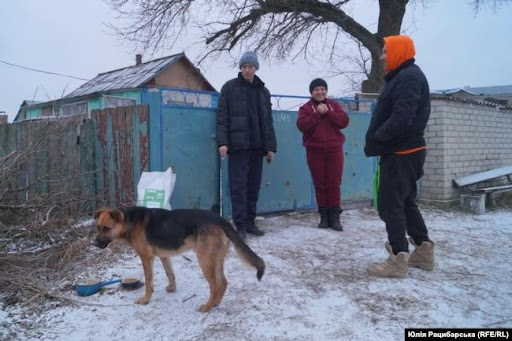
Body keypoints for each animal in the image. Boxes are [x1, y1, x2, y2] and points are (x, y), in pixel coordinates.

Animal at [93, 205, 266, 310]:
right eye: (98, 227)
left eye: (106, 228)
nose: (94, 244)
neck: (130, 221)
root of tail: (220, 219)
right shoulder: (163, 256)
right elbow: (170, 273)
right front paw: (172, 288)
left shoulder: (146, 258)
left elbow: (148, 282)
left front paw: (146, 299)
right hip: (215, 260)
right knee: (223, 283)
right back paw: (215, 304)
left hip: (205, 261)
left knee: (215, 286)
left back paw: (207, 307)